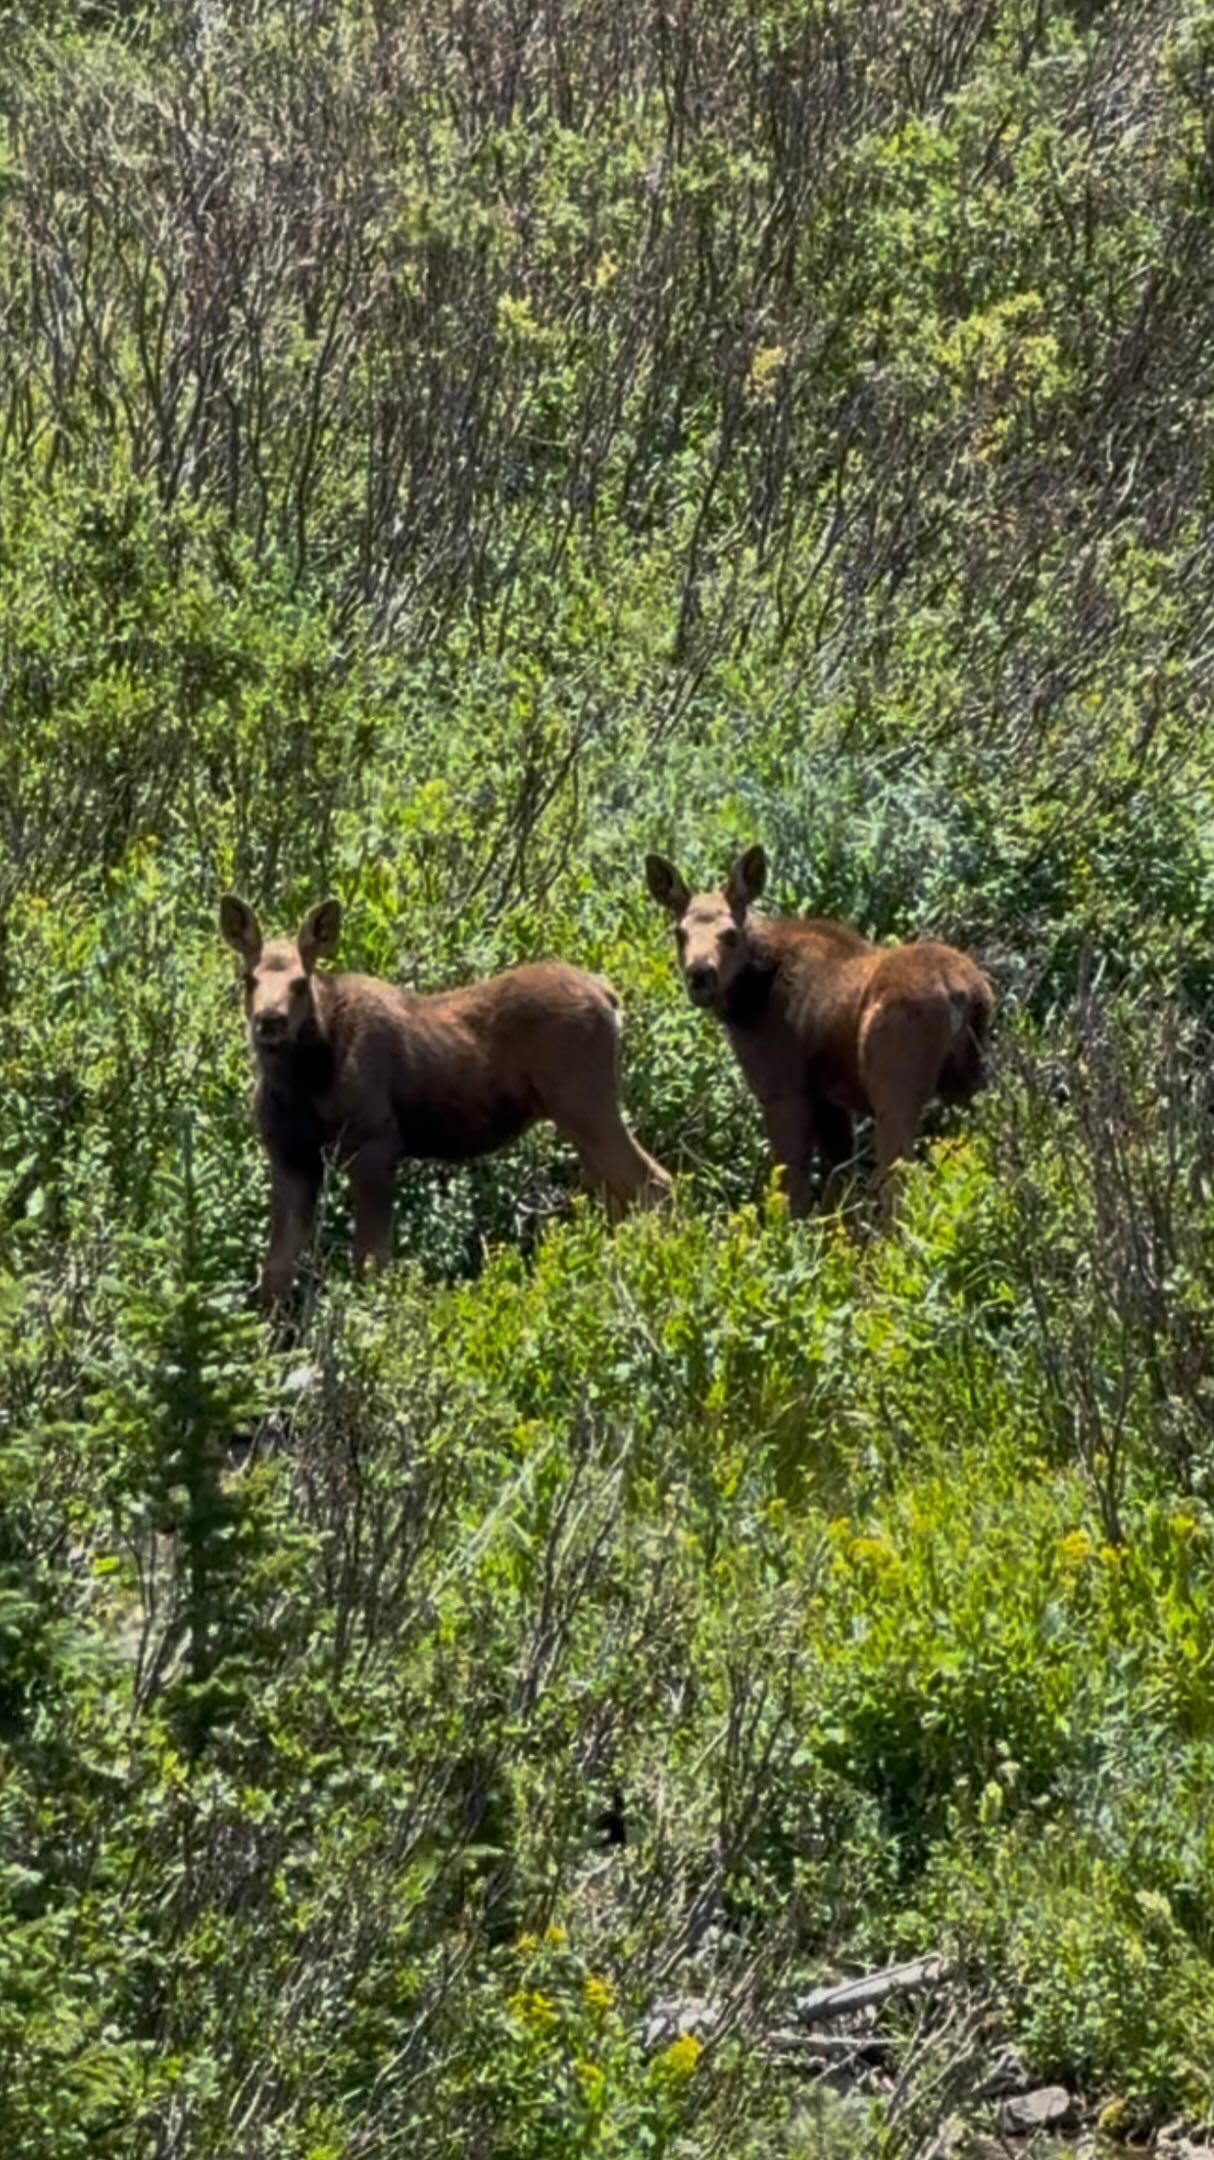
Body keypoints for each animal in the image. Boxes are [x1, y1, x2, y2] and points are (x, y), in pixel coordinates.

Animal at [220, 894, 671, 1303]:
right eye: (248, 979)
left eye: (301, 982)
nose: (270, 1021)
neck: (303, 1082)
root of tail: (609, 995)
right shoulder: (290, 1154)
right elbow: (276, 1271)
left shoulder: (375, 1143)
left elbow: (371, 1263)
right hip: (578, 1113)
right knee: (614, 1191)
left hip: (586, 1101)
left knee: (653, 1181)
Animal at [645, 845, 993, 1218]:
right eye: (679, 933)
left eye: (730, 934)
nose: (699, 976)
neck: (749, 997)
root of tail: (960, 992)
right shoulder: (829, 1099)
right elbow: (838, 1183)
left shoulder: (782, 1088)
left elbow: (793, 1183)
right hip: (971, 1081)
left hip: (895, 1089)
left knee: (898, 1179)